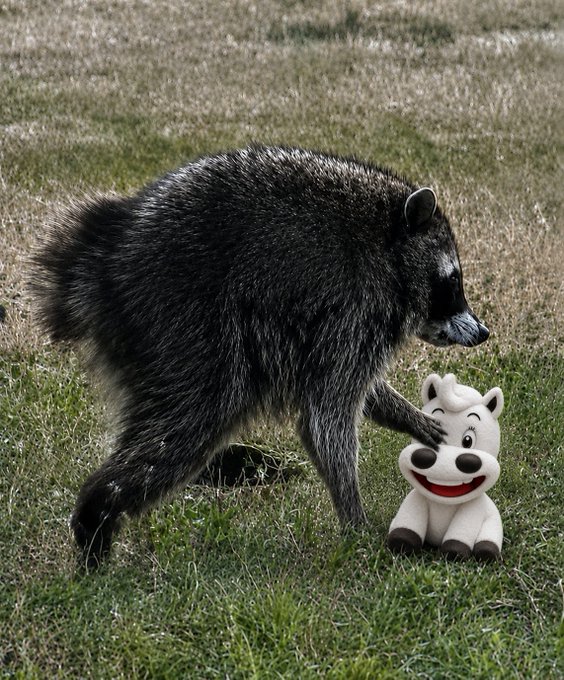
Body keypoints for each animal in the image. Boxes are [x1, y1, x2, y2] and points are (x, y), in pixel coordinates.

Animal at [31, 145, 489, 567]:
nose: (483, 332)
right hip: (184, 321)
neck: (388, 245)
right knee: (188, 422)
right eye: (453, 282)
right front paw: (354, 520)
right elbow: (326, 418)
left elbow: (355, 392)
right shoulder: (354, 308)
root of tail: (107, 253)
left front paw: (409, 417)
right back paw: (97, 513)